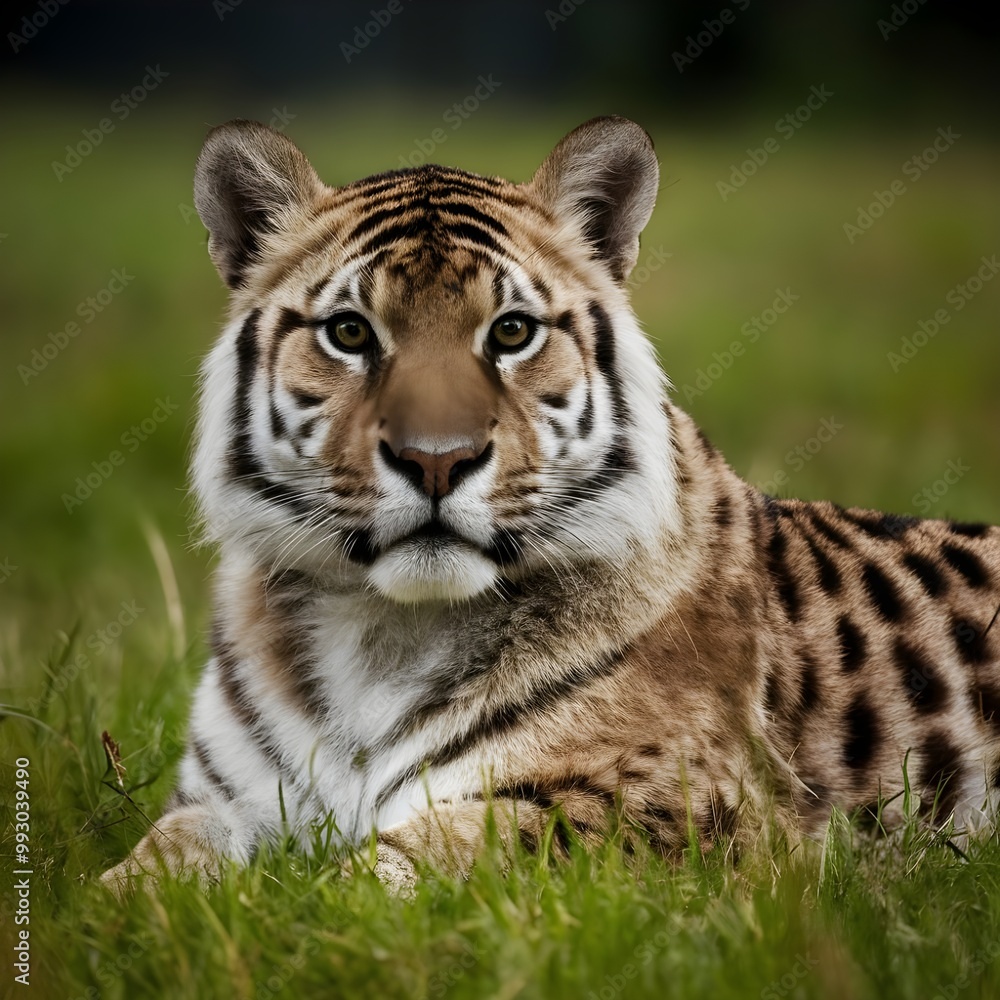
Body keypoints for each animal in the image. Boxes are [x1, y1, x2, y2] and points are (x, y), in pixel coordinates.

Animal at [101, 116, 1000, 894]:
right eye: (351, 334)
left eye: (511, 332)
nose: (437, 460)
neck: (383, 628)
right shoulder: (222, 799)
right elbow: (154, 859)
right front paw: (106, 918)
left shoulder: (676, 809)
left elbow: (403, 861)